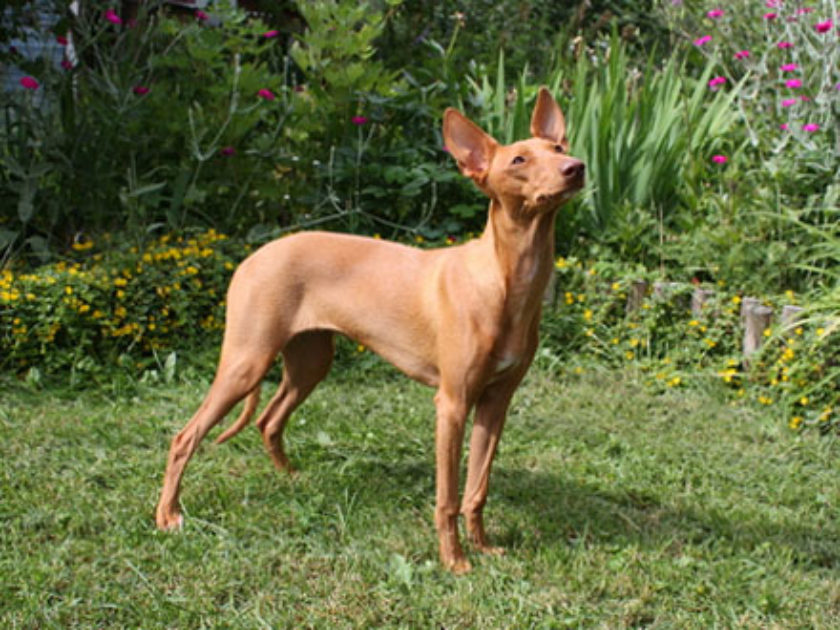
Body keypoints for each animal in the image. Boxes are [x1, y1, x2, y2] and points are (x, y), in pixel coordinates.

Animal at [154, 86, 580, 576]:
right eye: (518, 160)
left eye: (559, 148)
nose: (576, 167)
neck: (505, 279)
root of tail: (253, 256)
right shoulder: (451, 404)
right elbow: (448, 498)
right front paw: (454, 561)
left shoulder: (496, 402)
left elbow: (477, 488)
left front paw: (484, 546)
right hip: (247, 362)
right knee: (184, 437)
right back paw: (167, 515)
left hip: (310, 362)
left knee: (268, 419)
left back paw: (291, 479)